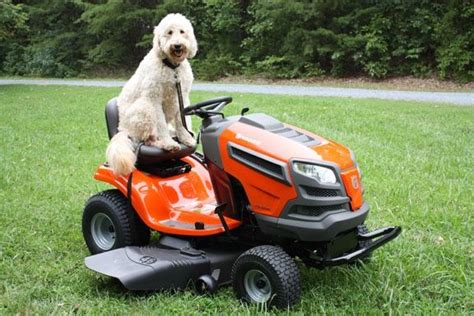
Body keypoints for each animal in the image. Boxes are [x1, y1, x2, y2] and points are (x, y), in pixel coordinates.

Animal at [106, 12, 197, 175]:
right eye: (169, 32)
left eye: (182, 31)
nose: (177, 45)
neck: (172, 67)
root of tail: (121, 129)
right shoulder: (154, 99)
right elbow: (161, 124)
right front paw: (168, 142)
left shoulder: (183, 97)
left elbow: (182, 121)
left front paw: (187, 138)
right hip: (143, 109)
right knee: (147, 140)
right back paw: (166, 144)